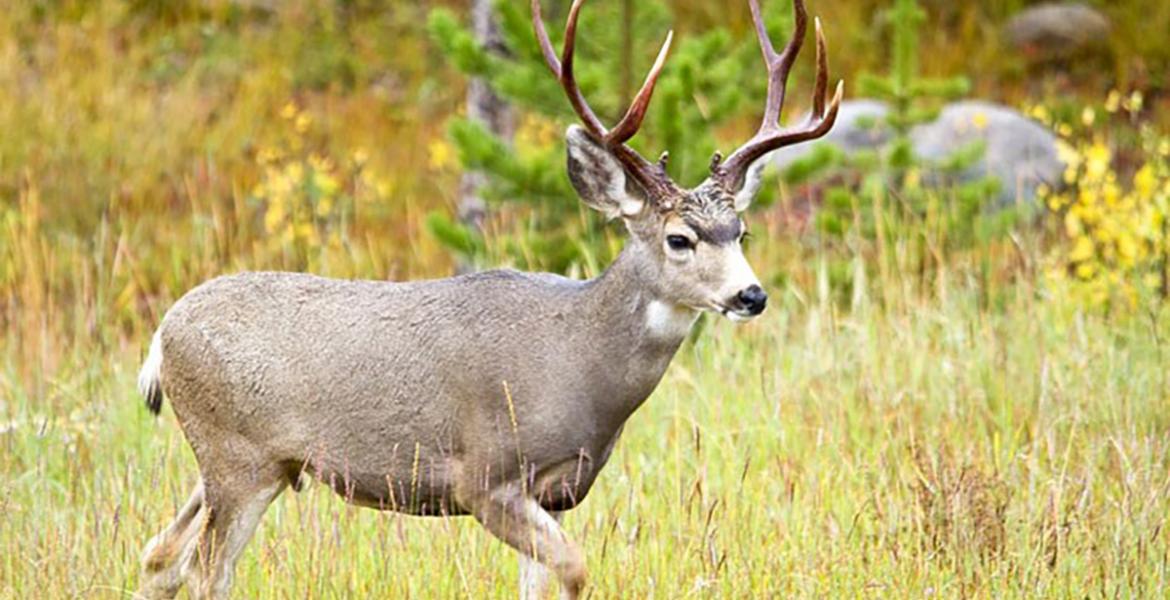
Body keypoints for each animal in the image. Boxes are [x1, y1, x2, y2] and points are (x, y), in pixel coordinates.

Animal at [133, 0, 840, 598]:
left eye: (741, 231)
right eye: (679, 238)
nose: (751, 295)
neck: (580, 360)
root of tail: (162, 335)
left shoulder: (554, 491)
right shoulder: (485, 476)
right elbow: (575, 568)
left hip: (237, 464)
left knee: (159, 555)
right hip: (238, 456)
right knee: (206, 571)